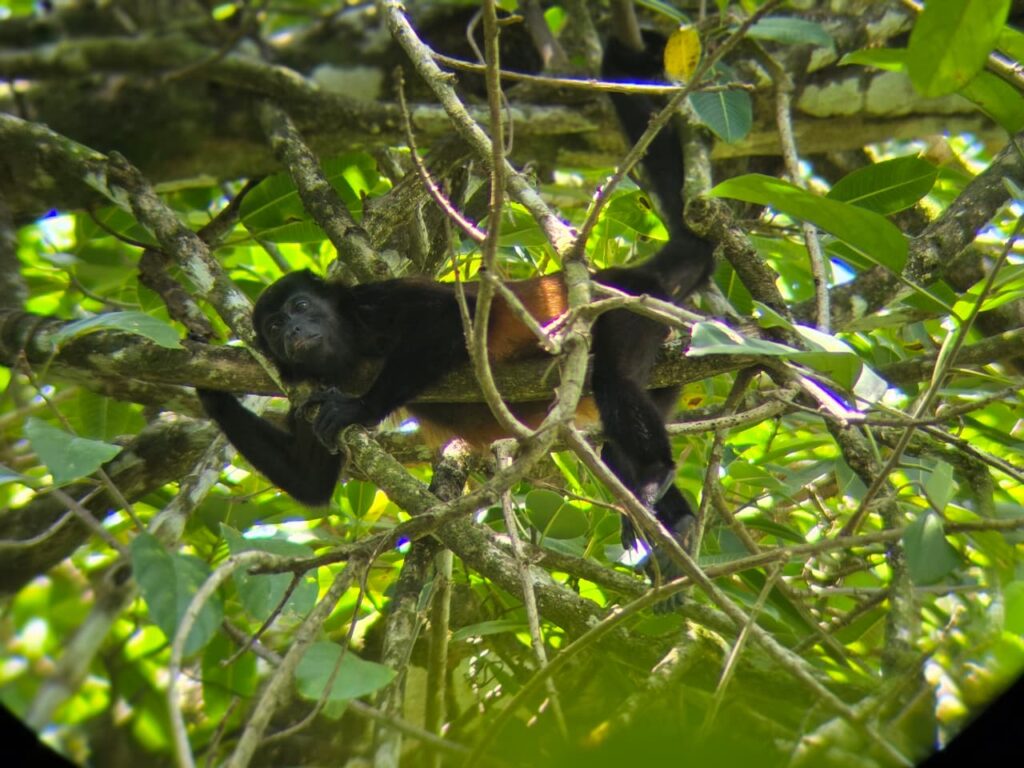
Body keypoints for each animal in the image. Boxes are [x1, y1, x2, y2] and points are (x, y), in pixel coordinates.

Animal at [196, 31, 714, 586]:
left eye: (300, 305)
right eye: (273, 325)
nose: (292, 329)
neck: (348, 348)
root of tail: (627, 277)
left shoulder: (377, 302)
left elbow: (450, 324)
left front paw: (361, 408)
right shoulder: (305, 387)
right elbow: (310, 480)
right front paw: (205, 386)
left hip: (632, 314)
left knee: (614, 380)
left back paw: (656, 476)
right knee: (616, 444)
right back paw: (672, 521)